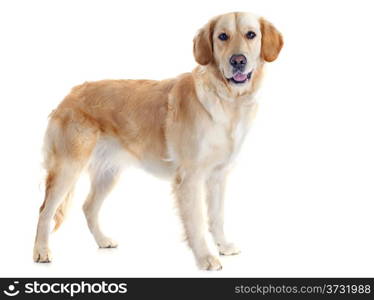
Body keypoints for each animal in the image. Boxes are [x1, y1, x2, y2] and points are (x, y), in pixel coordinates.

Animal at [33, 11, 282, 270]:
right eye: (223, 36)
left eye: (251, 34)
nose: (238, 60)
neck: (227, 100)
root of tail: (68, 95)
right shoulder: (190, 177)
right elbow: (197, 222)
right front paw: (205, 257)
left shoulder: (218, 175)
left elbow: (217, 216)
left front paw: (223, 246)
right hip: (68, 167)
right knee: (44, 210)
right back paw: (41, 252)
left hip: (108, 173)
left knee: (88, 207)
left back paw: (103, 240)